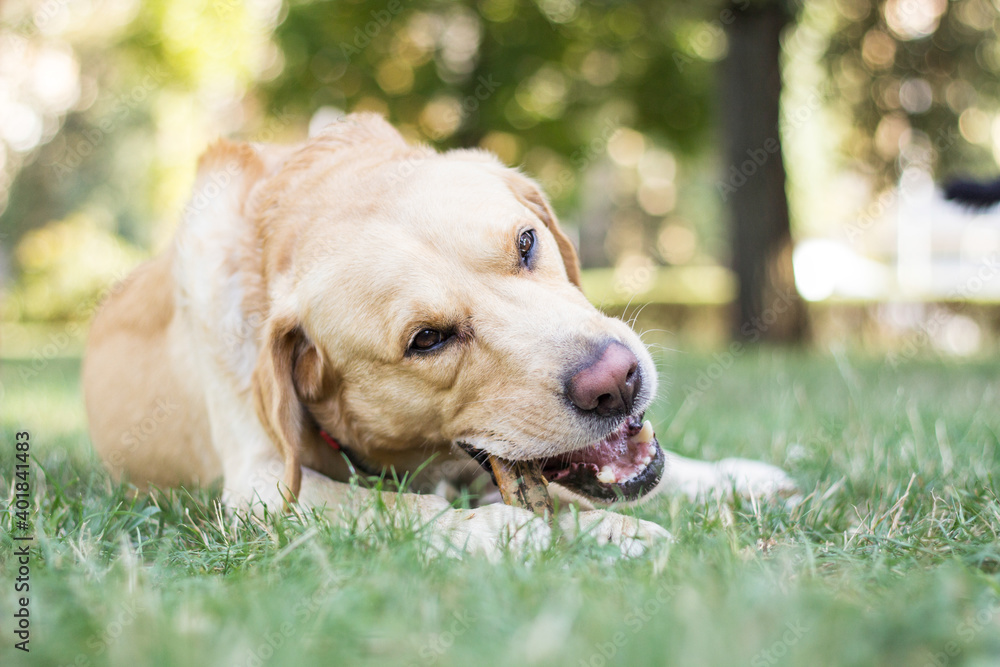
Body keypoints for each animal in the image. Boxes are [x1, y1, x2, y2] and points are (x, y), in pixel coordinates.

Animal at [82, 113, 792, 560]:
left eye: (527, 243)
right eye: (427, 339)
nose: (616, 382)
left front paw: (729, 478)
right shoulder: (259, 490)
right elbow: (403, 510)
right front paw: (594, 535)